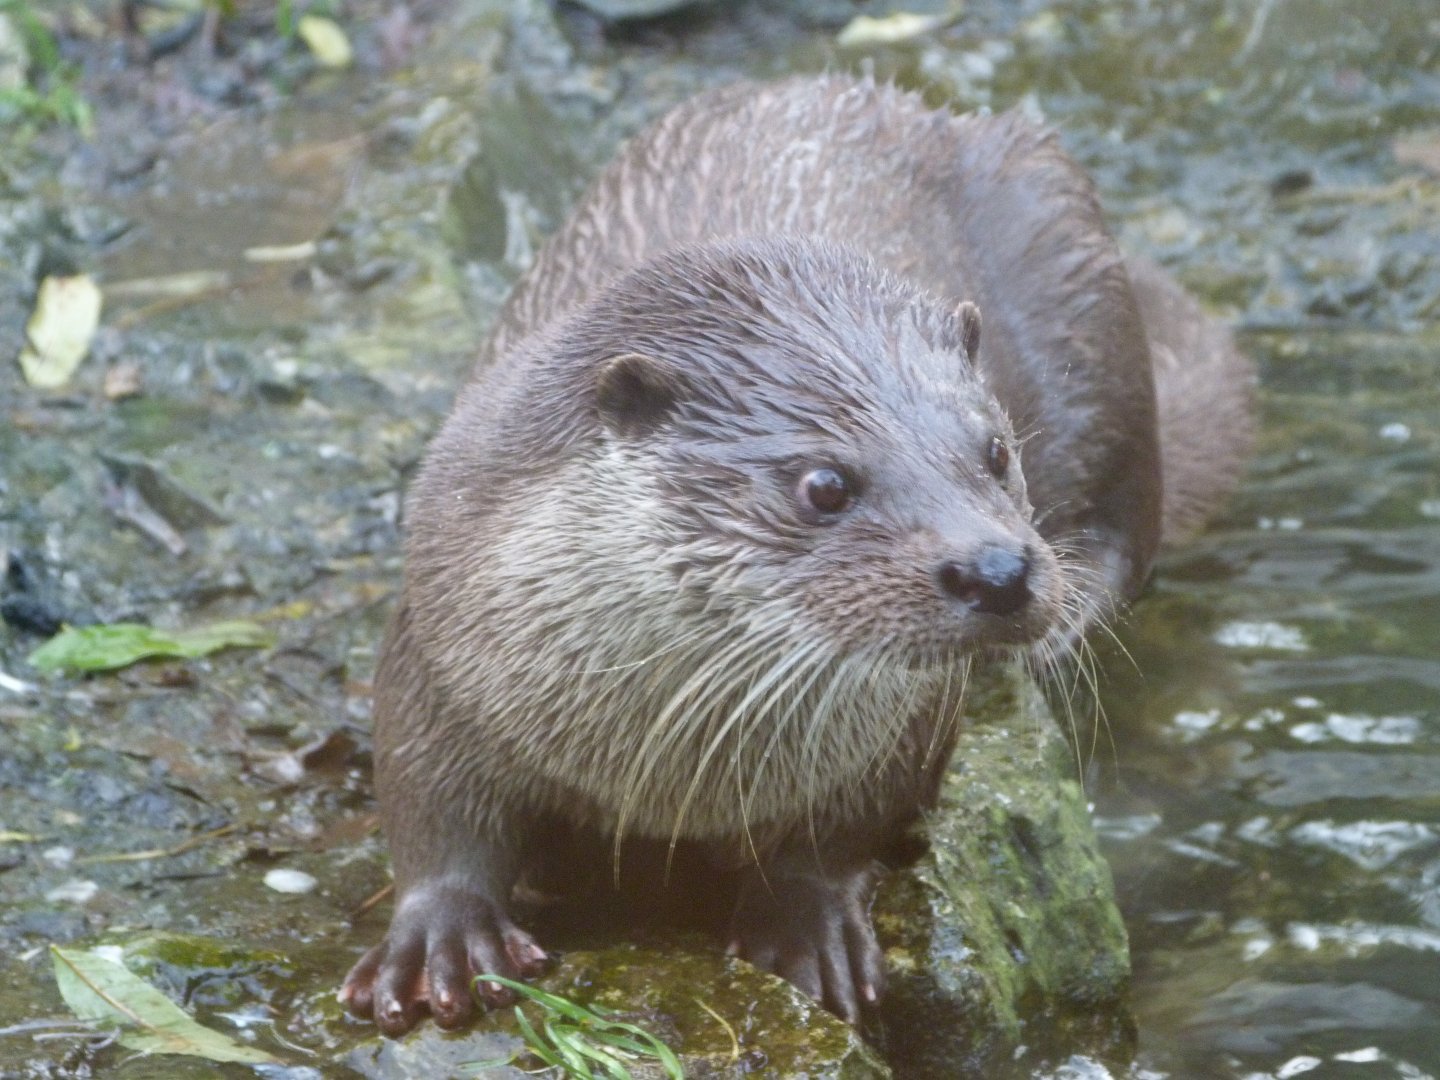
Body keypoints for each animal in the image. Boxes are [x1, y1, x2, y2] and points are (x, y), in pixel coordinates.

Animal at [339, 75, 1253, 1035]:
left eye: (997, 451)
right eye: (824, 484)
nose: (998, 572)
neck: (663, 769)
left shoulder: (904, 723)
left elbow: (847, 825)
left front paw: (806, 923)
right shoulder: (440, 634)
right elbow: (427, 801)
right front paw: (442, 935)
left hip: (1079, 264)